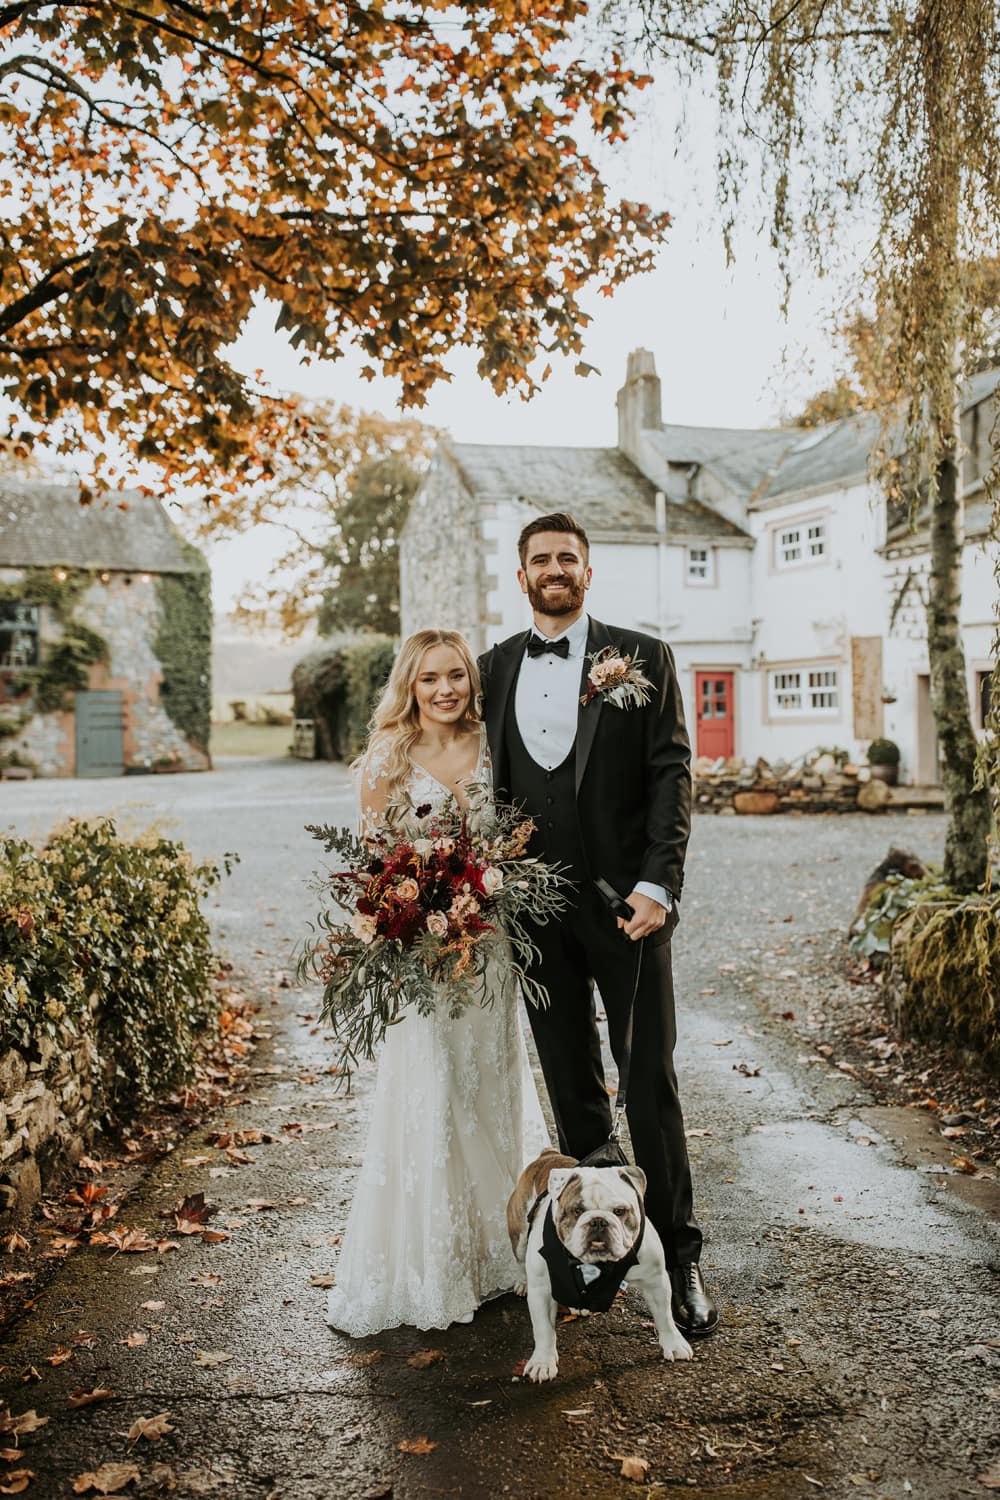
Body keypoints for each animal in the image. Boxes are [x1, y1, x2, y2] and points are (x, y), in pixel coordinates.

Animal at [506, 1148, 693, 1383]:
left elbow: (665, 1316)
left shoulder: (656, 1280)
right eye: (577, 1211)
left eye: (620, 1211)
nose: (598, 1221)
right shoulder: (541, 1289)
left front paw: (674, 1344)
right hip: (520, 1235)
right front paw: (542, 1362)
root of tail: (548, 1154)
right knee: (520, 1260)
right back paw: (523, 1283)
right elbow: (543, 1329)